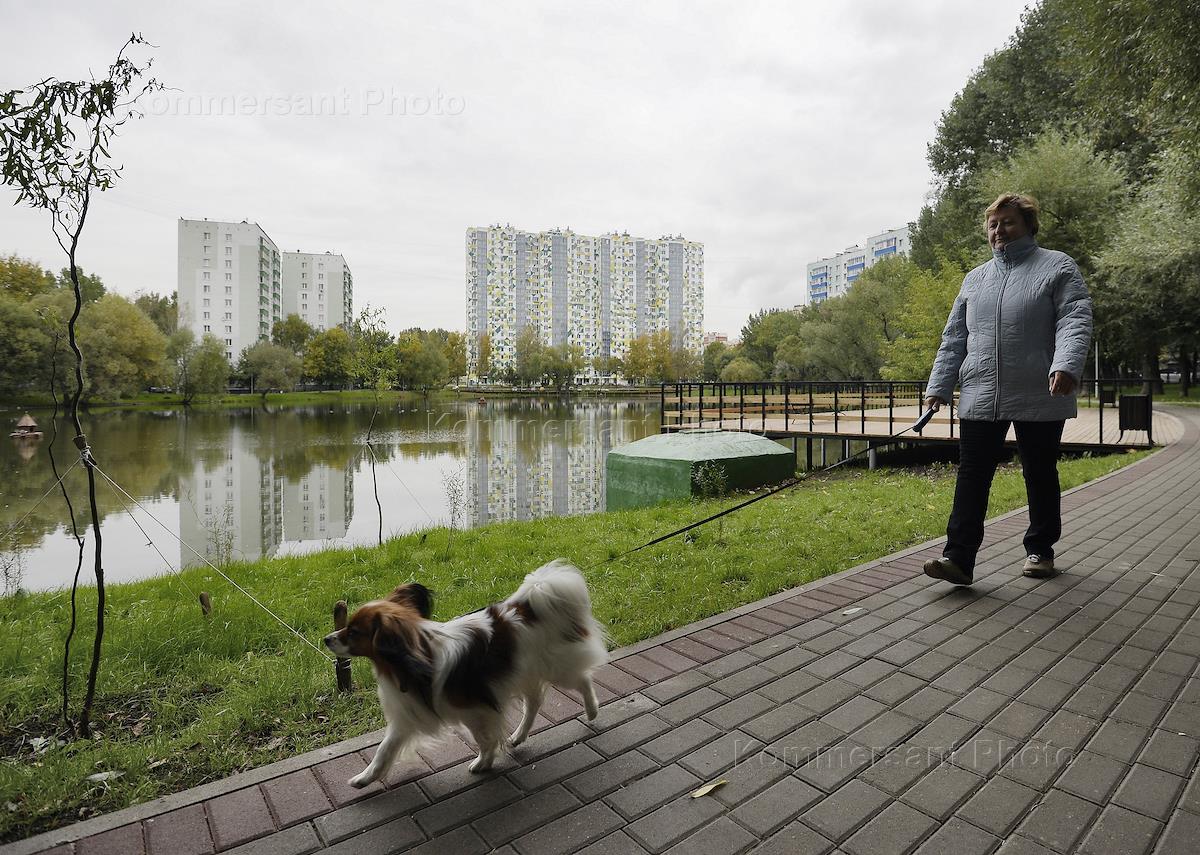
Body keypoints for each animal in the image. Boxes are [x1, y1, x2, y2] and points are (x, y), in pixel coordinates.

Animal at [324, 557, 609, 782]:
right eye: (347, 627)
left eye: (354, 632)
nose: (327, 638)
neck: (414, 658)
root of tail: (529, 605)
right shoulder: (408, 715)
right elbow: (385, 749)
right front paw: (365, 778)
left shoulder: (475, 710)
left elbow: (483, 738)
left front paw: (484, 762)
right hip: (521, 670)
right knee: (534, 702)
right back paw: (518, 736)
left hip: (556, 668)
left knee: (583, 679)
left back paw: (592, 710)